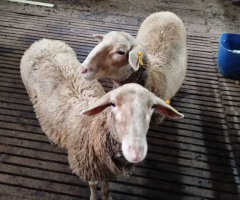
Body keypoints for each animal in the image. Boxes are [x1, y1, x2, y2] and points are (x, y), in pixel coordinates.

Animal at [19, 38, 184, 199]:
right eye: (113, 104)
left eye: (152, 106)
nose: (136, 151)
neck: (94, 128)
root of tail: (42, 42)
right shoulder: (88, 168)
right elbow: (93, 185)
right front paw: (94, 197)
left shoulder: (107, 169)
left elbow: (106, 185)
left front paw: (106, 196)